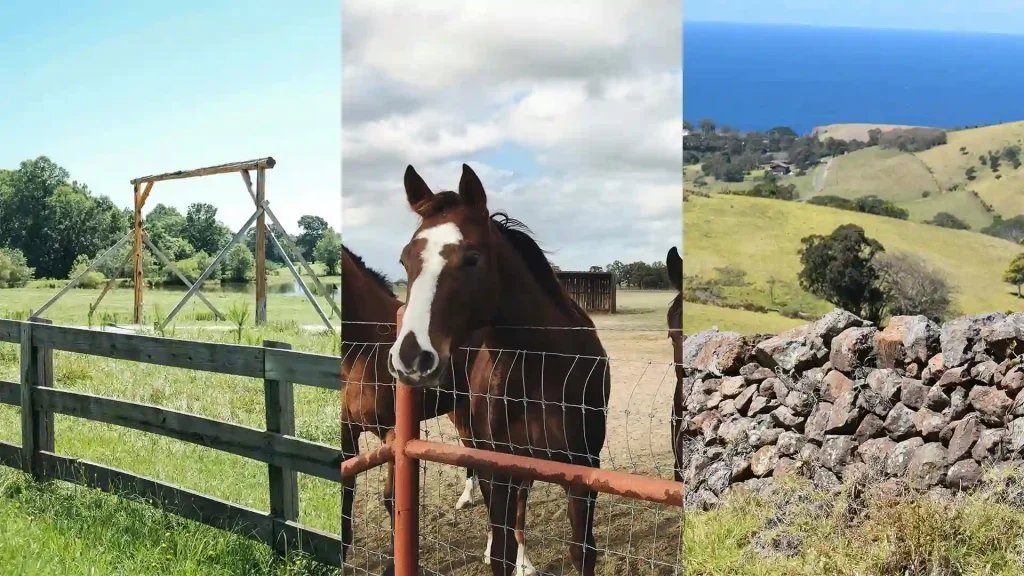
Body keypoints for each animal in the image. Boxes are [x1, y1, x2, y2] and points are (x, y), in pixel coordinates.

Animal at [335, 245, 483, 561]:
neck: (366, 346)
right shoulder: (346, 432)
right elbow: (345, 491)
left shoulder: (393, 435)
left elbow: (391, 499)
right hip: (459, 409)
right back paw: (465, 498)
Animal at [385, 163, 606, 569]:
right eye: (405, 260)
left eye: (471, 258)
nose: (411, 357)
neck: (544, 369)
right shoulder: (499, 470)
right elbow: (501, 546)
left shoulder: (583, 474)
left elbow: (582, 551)